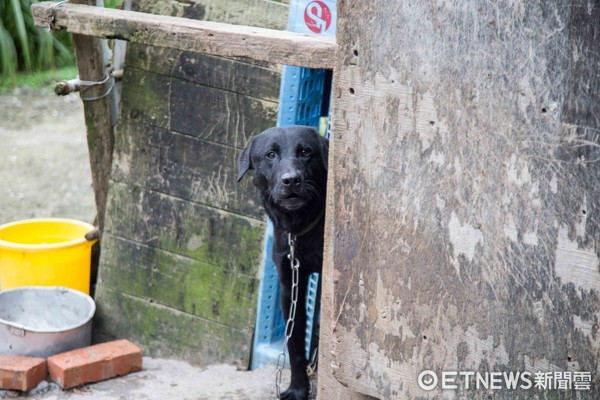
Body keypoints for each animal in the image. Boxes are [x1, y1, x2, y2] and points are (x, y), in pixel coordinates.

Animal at [237, 126, 328, 400]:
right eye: (271, 154)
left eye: (306, 152)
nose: (291, 180)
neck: (299, 229)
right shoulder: (290, 286)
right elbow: (294, 345)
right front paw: (298, 389)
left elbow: (318, 328)